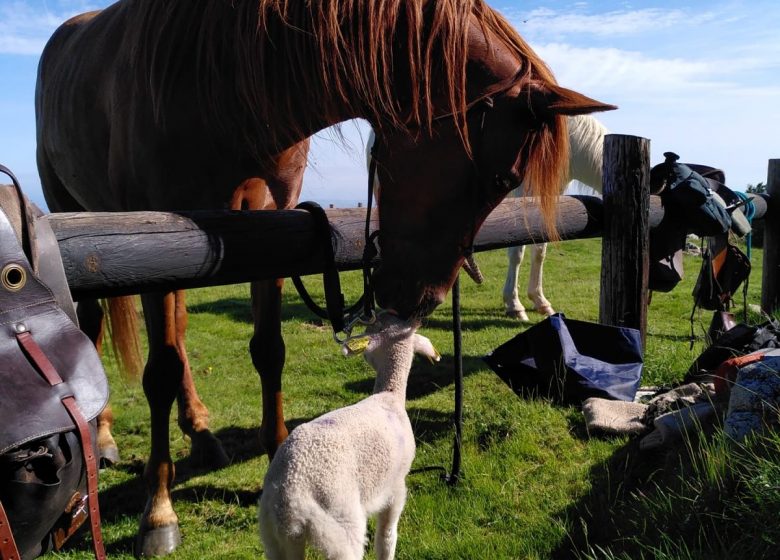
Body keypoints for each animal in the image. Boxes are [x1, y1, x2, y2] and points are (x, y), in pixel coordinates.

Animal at [258, 316, 436, 560]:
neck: (389, 395)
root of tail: (290, 497)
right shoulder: (396, 486)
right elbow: (387, 537)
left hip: (276, 537)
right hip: (340, 524)